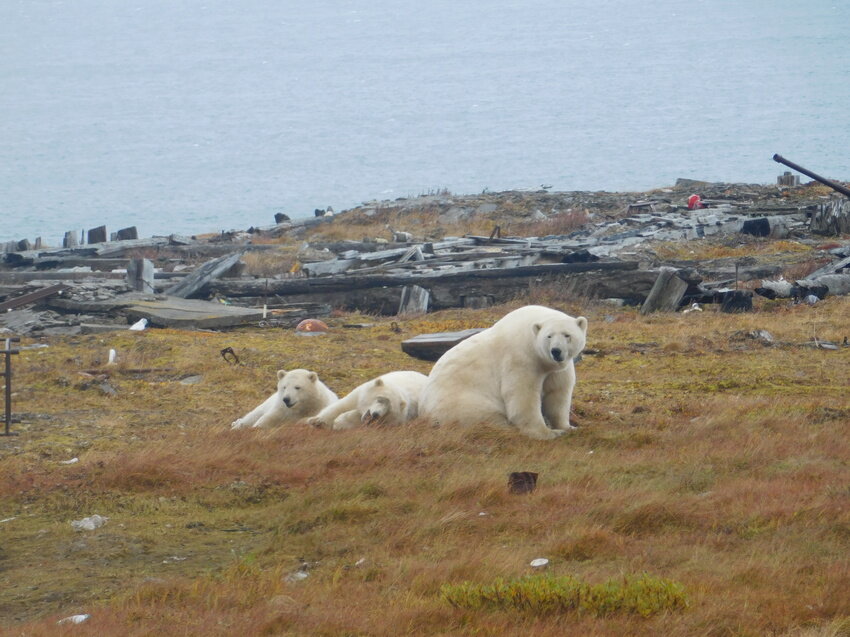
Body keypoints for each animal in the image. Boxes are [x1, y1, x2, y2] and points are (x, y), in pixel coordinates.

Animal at [420, 306, 588, 440]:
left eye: (567, 335)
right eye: (549, 336)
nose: (556, 351)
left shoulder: (555, 368)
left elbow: (557, 393)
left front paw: (569, 427)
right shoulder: (521, 358)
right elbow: (523, 394)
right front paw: (547, 433)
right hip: (461, 402)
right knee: (485, 416)